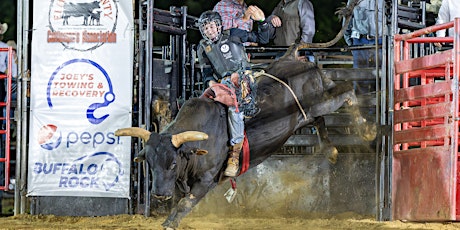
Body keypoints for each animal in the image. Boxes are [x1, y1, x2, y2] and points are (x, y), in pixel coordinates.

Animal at [114, 43, 374, 228]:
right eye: (150, 163)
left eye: (173, 163)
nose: (159, 194)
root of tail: (291, 56)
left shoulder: (206, 179)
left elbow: (184, 203)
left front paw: (169, 223)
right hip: (310, 109)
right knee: (320, 119)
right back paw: (331, 150)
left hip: (320, 100)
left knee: (347, 91)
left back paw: (367, 130)